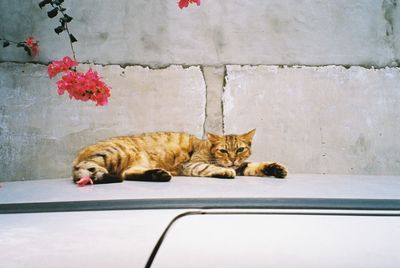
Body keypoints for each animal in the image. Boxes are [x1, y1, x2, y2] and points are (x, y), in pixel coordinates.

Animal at [72, 129, 288, 184]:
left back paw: (157, 175)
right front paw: (223, 171)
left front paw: (275, 168)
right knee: (81, 171)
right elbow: (210, 167)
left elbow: (253, 166)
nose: (233, 158)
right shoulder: (191, 164)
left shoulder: (241, 165)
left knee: (128, 173)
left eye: (240, 149)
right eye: (224, 150)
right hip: (116, 153)